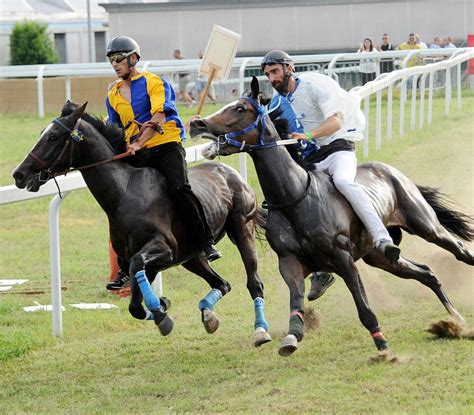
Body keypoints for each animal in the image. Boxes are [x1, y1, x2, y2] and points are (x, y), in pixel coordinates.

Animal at [12, 101, 272, 348]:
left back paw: (261, 332)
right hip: (191, 257)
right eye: (42, 133)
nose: (19, 174)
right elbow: (135, 303)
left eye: (53, 137)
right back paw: (208, 315)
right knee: (223, 284)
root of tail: (231, 172)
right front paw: (161, 307)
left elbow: (138, 270)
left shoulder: (163, 250)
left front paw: (161, 312)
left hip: (241, 230)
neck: (125, 193)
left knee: (254, 283)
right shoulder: (151, 262)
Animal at [190, 77, 474, 358]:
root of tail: (393, 171)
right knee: (426, 273)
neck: (295, 197)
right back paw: (455, 320)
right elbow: (296, 301)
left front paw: (382, 346)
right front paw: (292, 336)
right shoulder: (290, 262)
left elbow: (364, 308)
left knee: (460, 251)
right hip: (379, 257)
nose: (198, 123)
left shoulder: (344, 258)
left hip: (425, 226)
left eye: (240, 108)